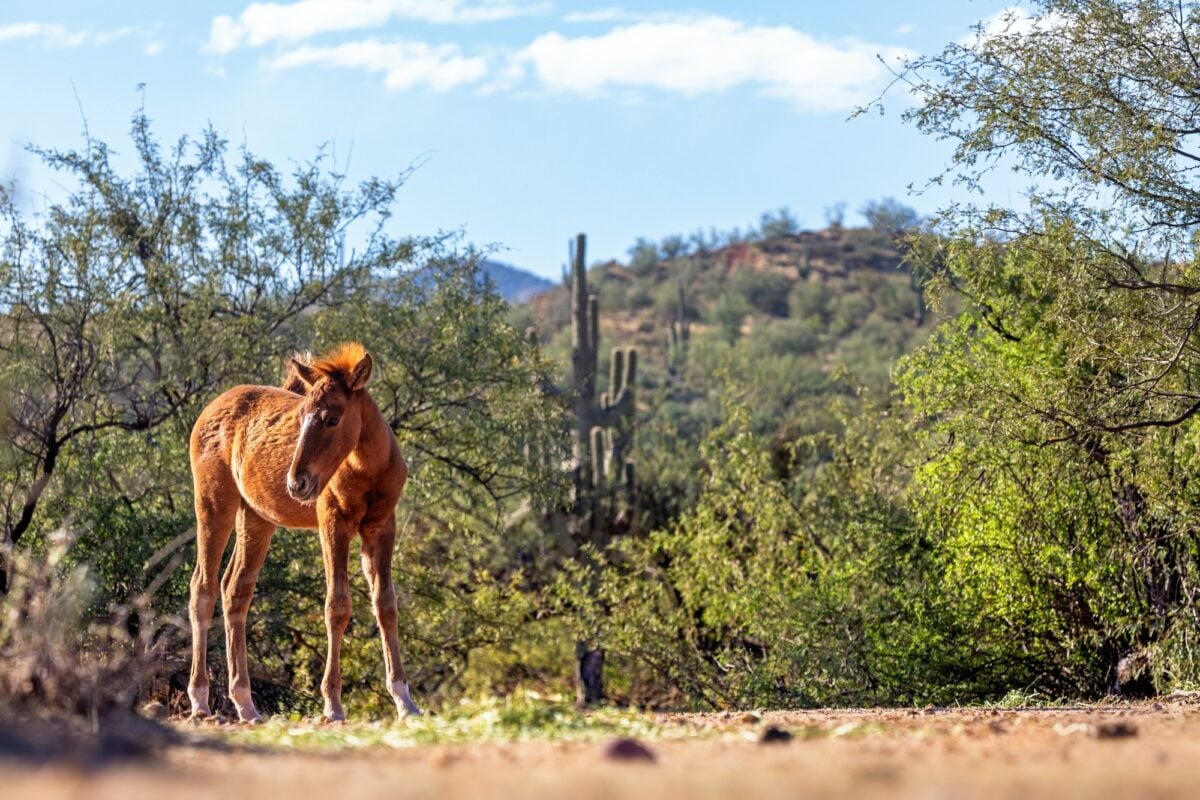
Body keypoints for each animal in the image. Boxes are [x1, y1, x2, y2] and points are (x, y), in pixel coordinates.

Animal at [187, 340, 422, 724]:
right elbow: (337, 606)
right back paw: (200, 700)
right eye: (300, 418)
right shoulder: (333, 523)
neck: (368, 469)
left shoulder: (381, 525)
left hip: (256, 517)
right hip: (214, 503)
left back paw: (246, 703)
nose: (296, 483)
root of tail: (209, 410)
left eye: (332, 418)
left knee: (235, 589)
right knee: (202, 588)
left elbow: (385, 604)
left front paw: (405, 700)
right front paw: (333, 704)